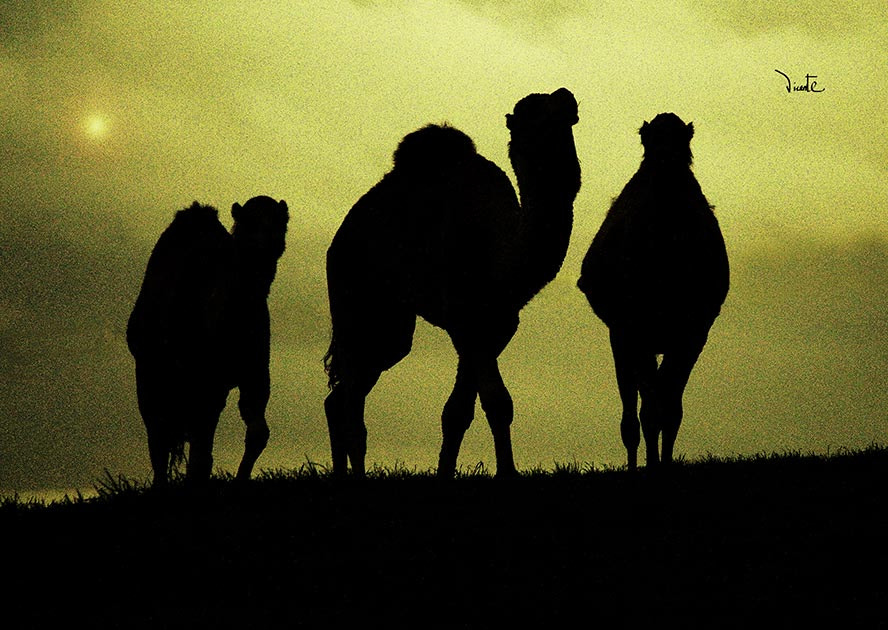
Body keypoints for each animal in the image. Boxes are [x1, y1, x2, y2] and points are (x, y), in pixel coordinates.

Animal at [127, 196, 289, 486]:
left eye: (278, 223)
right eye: (247, 223)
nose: (262, 246)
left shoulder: (254, 375)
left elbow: (258, 433)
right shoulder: (204, 379)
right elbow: (197, 448)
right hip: (150, 372)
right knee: (159, 432)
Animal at [324, 88, 581, 478]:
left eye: (565, 114)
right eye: (532, 111)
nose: (567, 97)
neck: (500, 256)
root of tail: (339, 239)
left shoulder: (498, 324)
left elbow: (459, 411)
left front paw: (447, 472)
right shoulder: (464, 320)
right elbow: (496, 401)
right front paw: (507, 473)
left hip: (393, 327)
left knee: (340, 397)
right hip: (354, 299)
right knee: (350, 399)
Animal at [578, 113, 729, 471]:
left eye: (684, 141)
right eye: (647, 139)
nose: (665, 160)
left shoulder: (694, 331)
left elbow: (671, 409)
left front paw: (665, 464)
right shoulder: (633, 329)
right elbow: (648, 410)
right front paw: (650, 466)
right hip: (622, 336)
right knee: (632, 411)